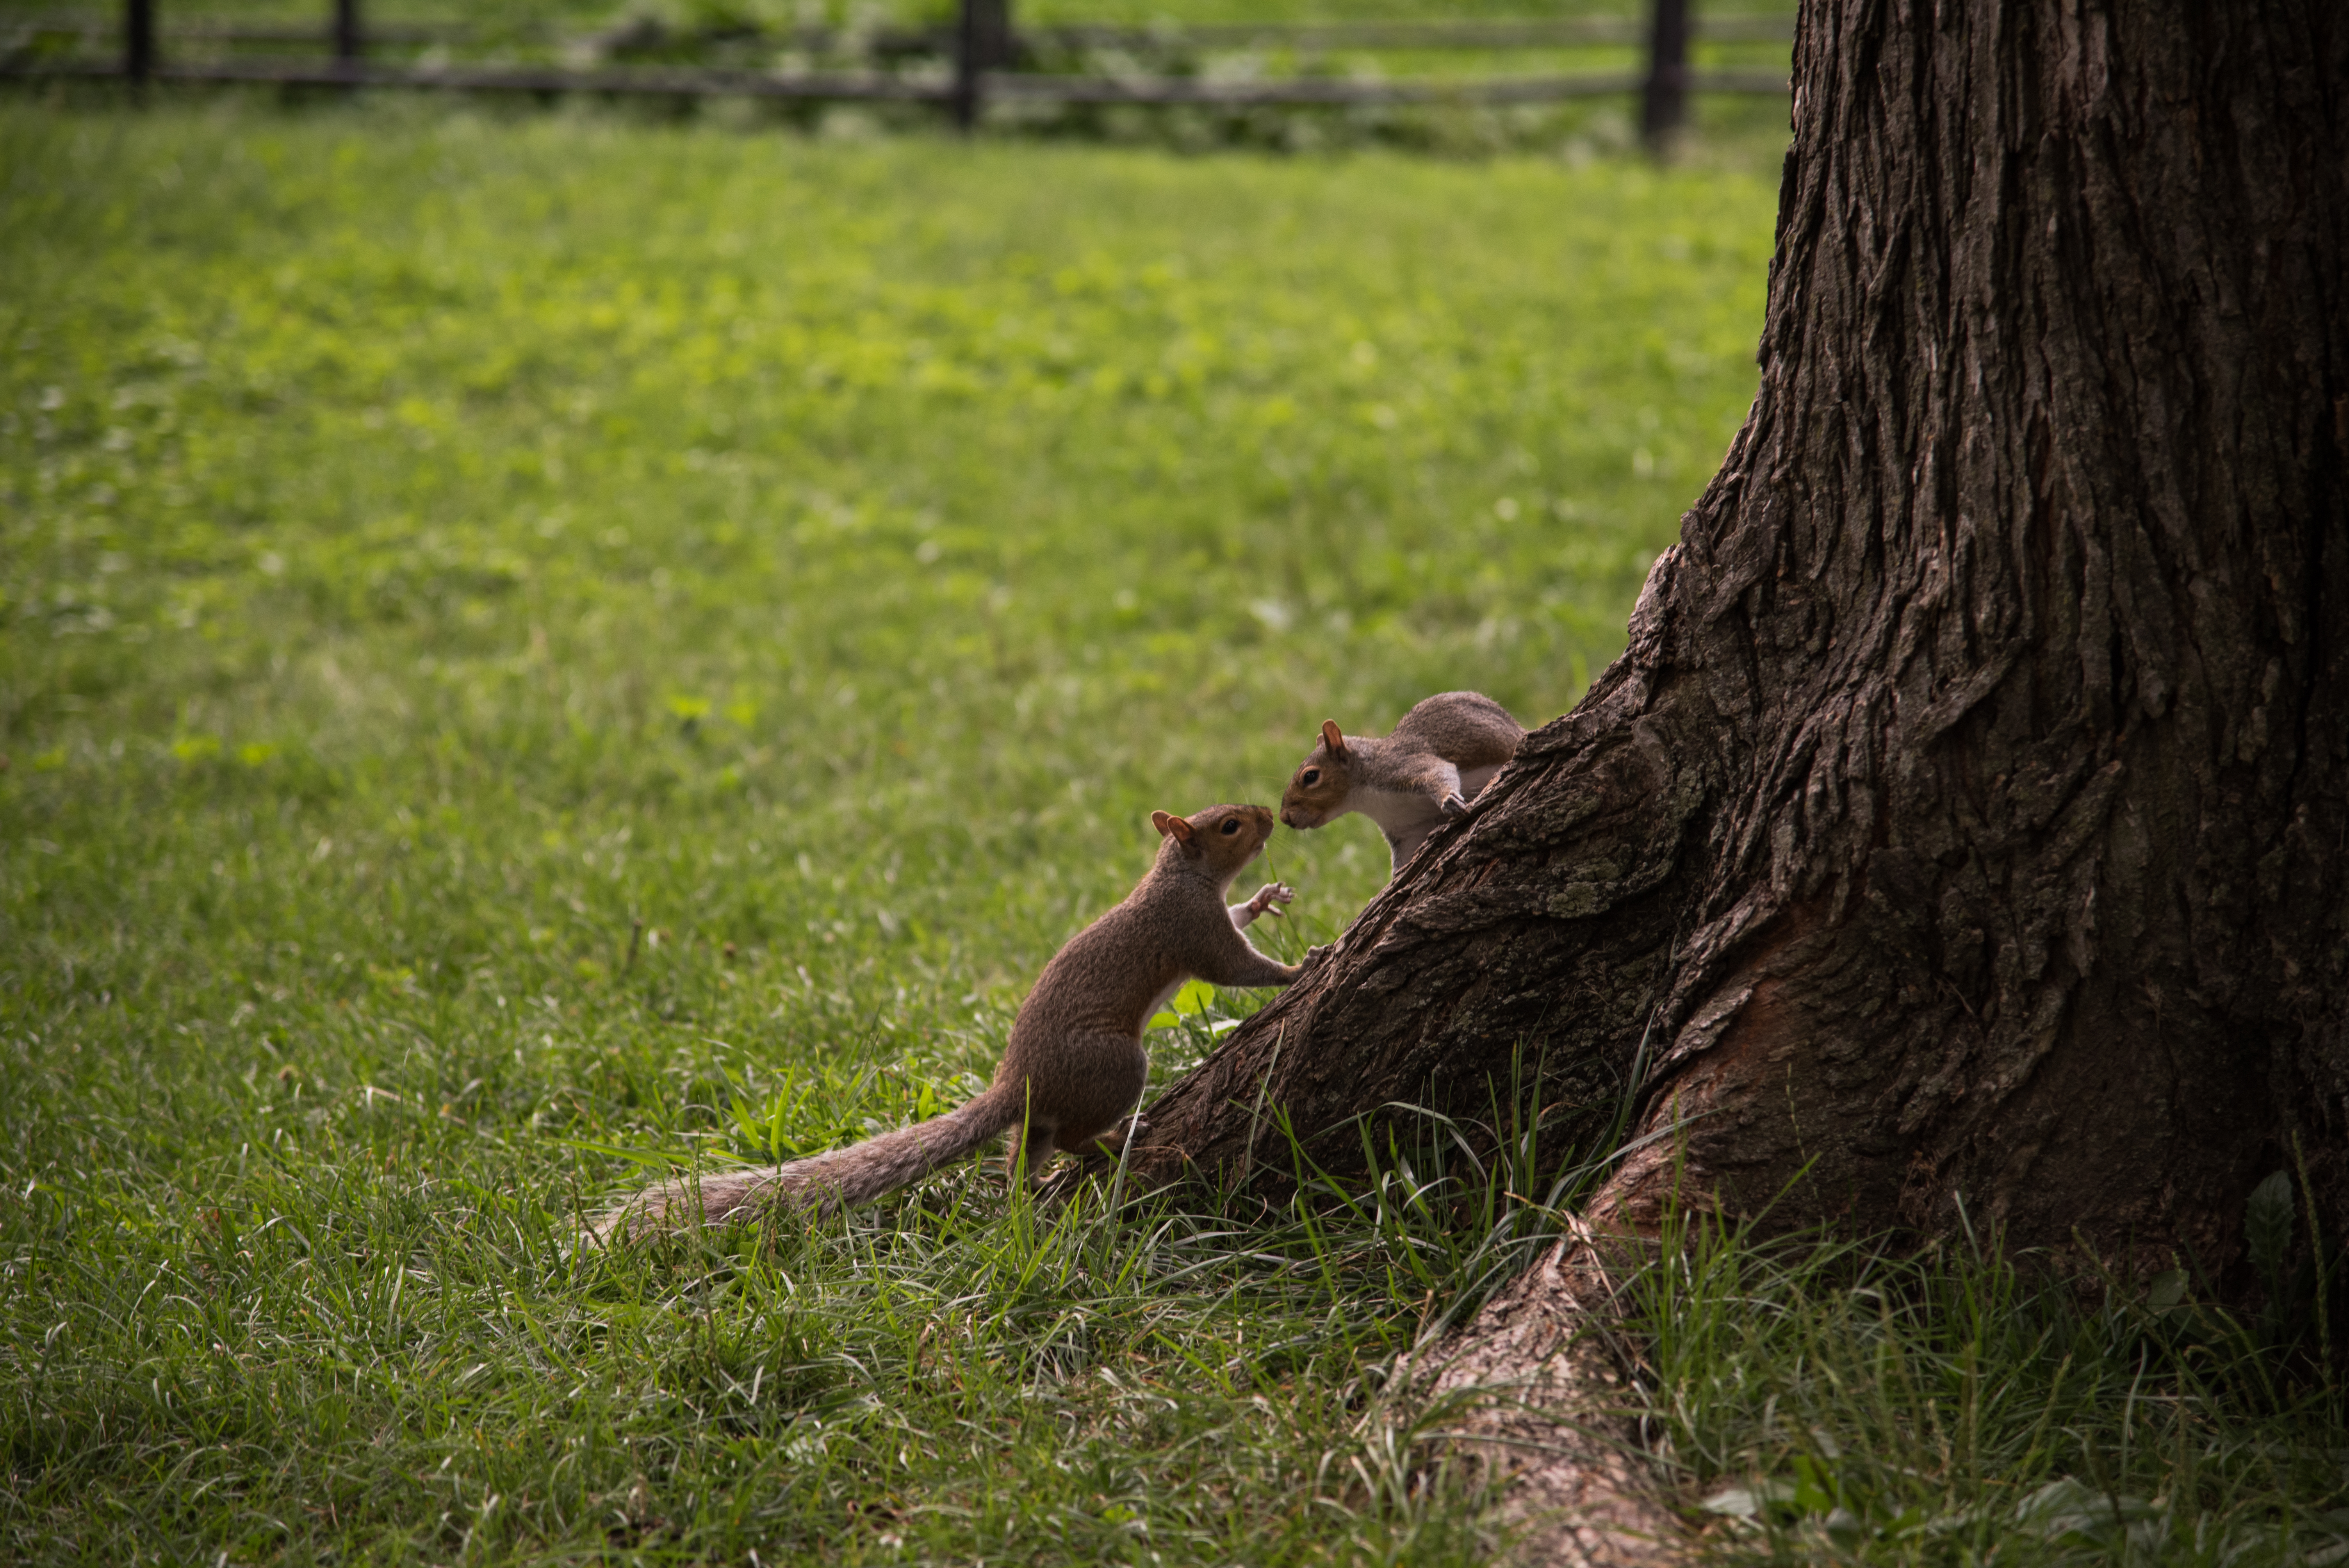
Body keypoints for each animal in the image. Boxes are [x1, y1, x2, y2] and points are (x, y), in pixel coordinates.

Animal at [592, 803, 1306, 1239]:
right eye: (1231, 826)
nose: (1270, 815)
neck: (1177, 875)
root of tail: (1016, 1083)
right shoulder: (1191, 930)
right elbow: (1234, 966)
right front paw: (1299, 970)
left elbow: (1238, 922)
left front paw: (1264, 900)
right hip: (1115, 1065)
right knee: (1072, 1135)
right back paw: (1111, 1139)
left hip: (1052, 1108)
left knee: (1026, 1152)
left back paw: (1035, 1181)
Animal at [1287, 690, 1522, 878]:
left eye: (1311, 777)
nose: (1285, 818)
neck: (1365, 798)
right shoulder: (1406, 829)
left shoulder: (1402, 768)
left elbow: (1440, 772)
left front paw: (1449, 800)